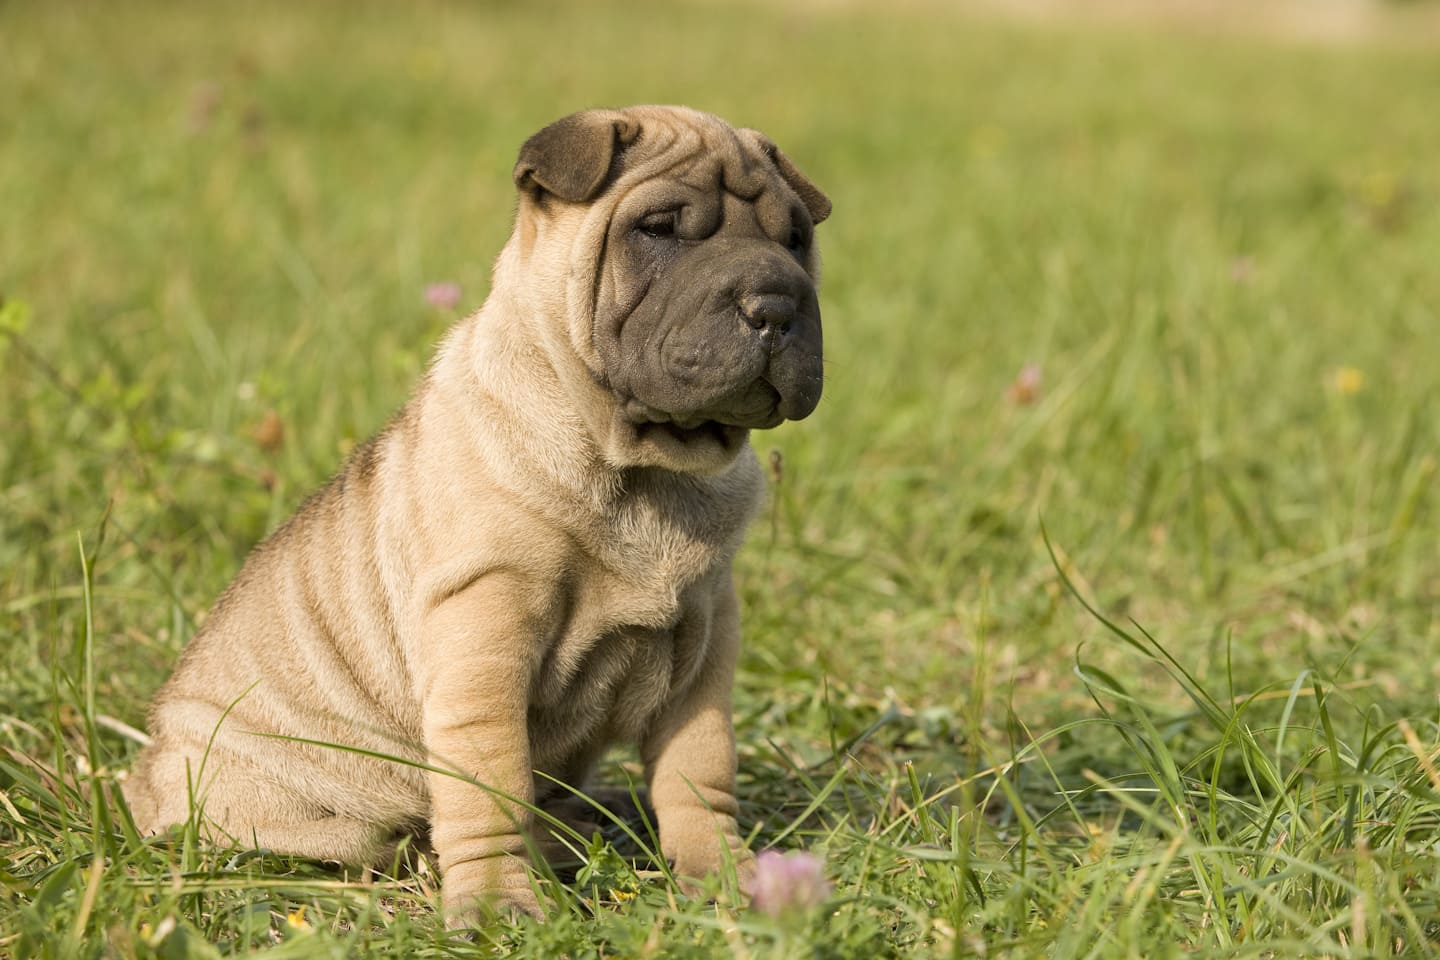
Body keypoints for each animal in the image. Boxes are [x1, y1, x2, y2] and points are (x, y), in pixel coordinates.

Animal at [129, 107, 840, 921]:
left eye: (796, 239)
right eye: (658, 230)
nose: (776, 305)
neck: (647, 467)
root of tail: (142, 784)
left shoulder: (705, 647)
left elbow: (700, 775)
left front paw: (726, 878)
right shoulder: (485, 637)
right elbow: (490, 792)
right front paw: (499, 903)